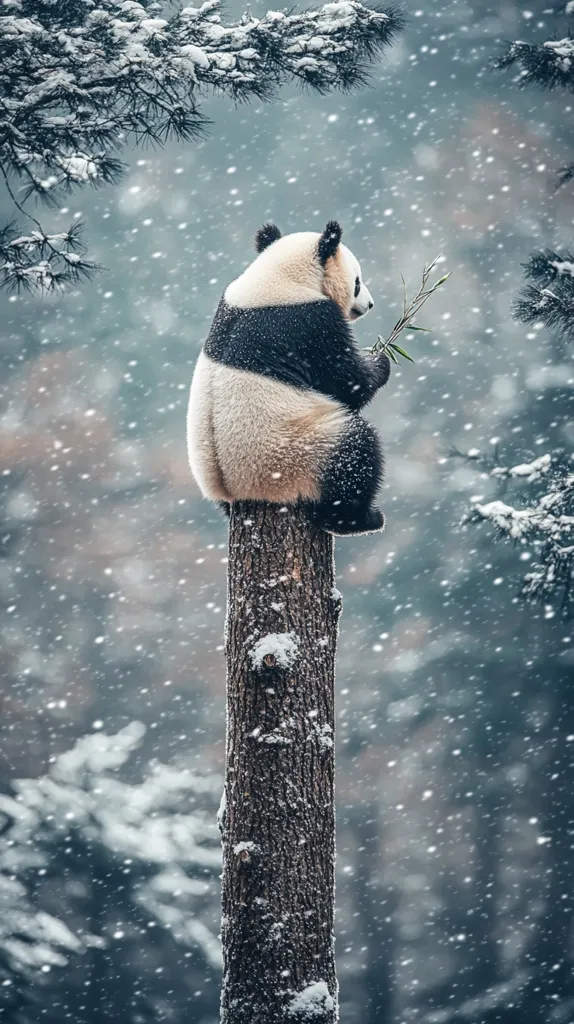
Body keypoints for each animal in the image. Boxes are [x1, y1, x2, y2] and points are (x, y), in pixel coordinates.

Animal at [187, 220, 391, 536]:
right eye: (357, 282)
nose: (369, 305)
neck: (278, 277)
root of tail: (232, 490)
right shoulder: (308, 325)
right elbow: (347, 382)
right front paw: (380, 360)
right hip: (296, 452)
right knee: (353, 453)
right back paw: (360, 519)